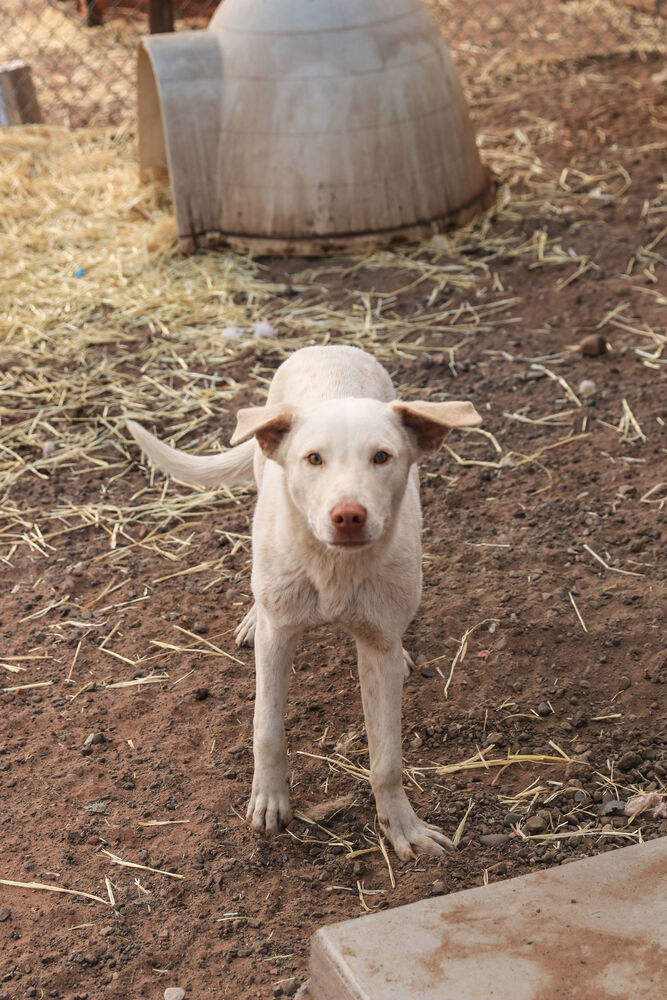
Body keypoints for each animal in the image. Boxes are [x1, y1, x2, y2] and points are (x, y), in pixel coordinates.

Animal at [125, 346, 480, 860]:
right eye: (314, 459)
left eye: (381, 457)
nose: (349, 515)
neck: (333, 567)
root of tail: (331, 347)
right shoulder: (279, 637)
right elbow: (266, 730)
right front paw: (270, 801)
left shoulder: (376, 648)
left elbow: (387, 759)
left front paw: (402, 826)